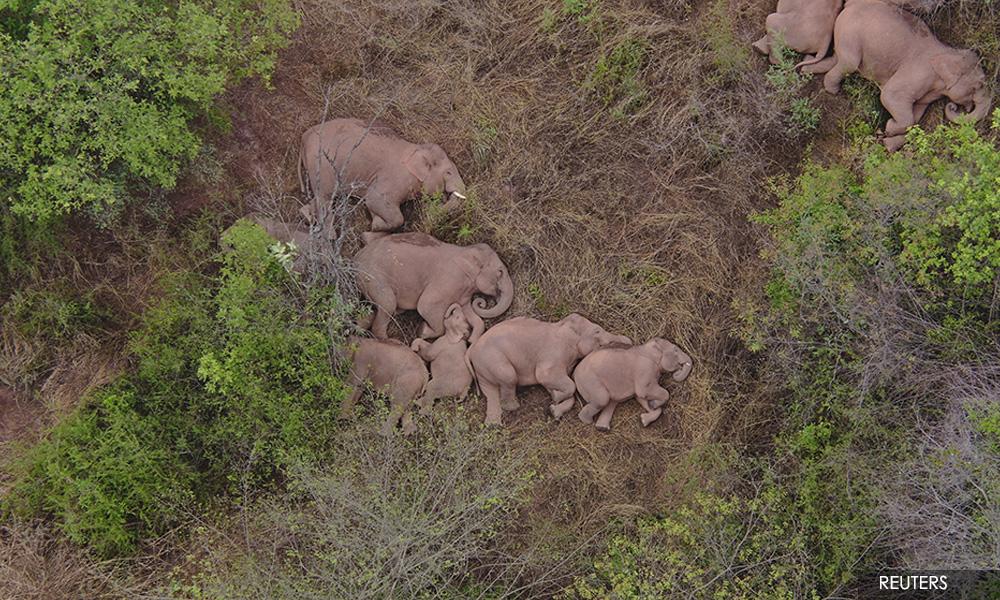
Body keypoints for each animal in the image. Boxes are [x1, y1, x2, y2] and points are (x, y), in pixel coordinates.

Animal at [298, 118, 466, 232]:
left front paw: (375, 219)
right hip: (321, 165)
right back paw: (330, 236)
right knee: (325, 198)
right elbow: (374, 200)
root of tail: (304, 137)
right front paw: (375, 225)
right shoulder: (395, 178)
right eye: (449, 172)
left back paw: (306, 215)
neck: (417, 148)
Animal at [354, 232, 512, 344]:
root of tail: (356, 259)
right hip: (374, 277)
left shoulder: (463, 292)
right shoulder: (449, 278)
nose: (482, 302)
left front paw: (472, 339)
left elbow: (473, 315)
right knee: (388, 305)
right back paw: (393, 342)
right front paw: (422, 330)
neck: (465, 251)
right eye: (500, 272)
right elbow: (425, 305)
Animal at [464, 314, 628, 426]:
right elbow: (547, 377)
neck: (563, 327)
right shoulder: (554, 353)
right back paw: (513, 406)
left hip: (483, 368)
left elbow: (557, 387)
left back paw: (493, 423)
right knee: (509, 377)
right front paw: (555, 398)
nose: (629, 340)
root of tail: (471, 350)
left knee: (490, 392)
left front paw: (553, 407)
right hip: (493, 359)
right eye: (597, 331)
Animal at [556, 338, 696, 432]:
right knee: (602, 399)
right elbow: (645, 392)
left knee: (611, 402)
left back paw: (602, 428)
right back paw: (588, 421)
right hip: (590, 381)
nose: (676, 373)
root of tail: (573, 374)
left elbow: (641, 398)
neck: (647, 347)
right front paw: (655, 404)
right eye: (676, 350)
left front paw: (646, 415)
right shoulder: (644, 369)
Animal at [804, 0, 992, 150]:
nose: (952, 107)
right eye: (979, 84)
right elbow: (889, 96)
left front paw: (888, 141)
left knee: (837, 59)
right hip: (850, 32)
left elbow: (916, 115)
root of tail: (850, 5)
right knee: (849, 63)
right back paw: (833, 90)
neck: (949, 52)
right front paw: (888, 127)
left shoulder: (928, 93)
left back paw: (806, 67)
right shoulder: (918, 74)